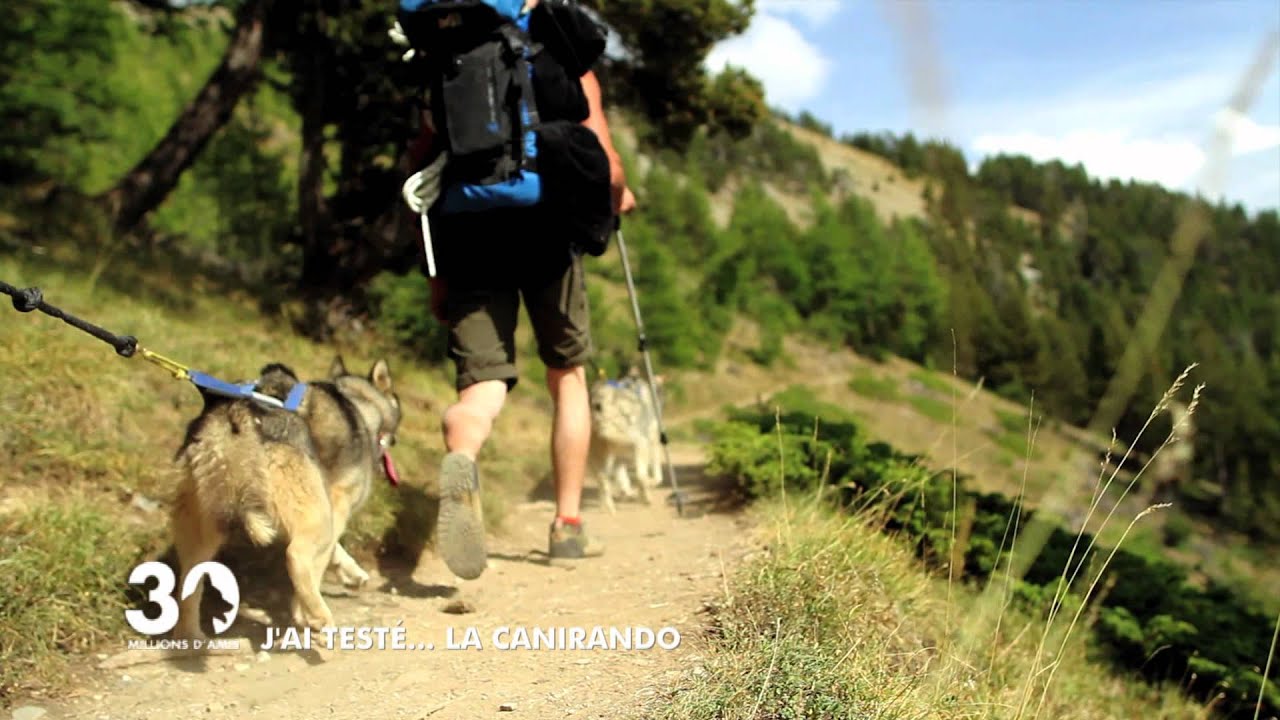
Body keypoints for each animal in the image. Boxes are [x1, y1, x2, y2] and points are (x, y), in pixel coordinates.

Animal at [170, 356, 399, 635]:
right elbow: (320, 561)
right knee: (296, 556)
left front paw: (351, 572)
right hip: (315, 514)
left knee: (190, 581)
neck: (359, 404)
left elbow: (332, 551)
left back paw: (190, 636)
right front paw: (302, 611)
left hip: (202, 524)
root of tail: (236, 414)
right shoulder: (337, 506)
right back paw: (320, 617)